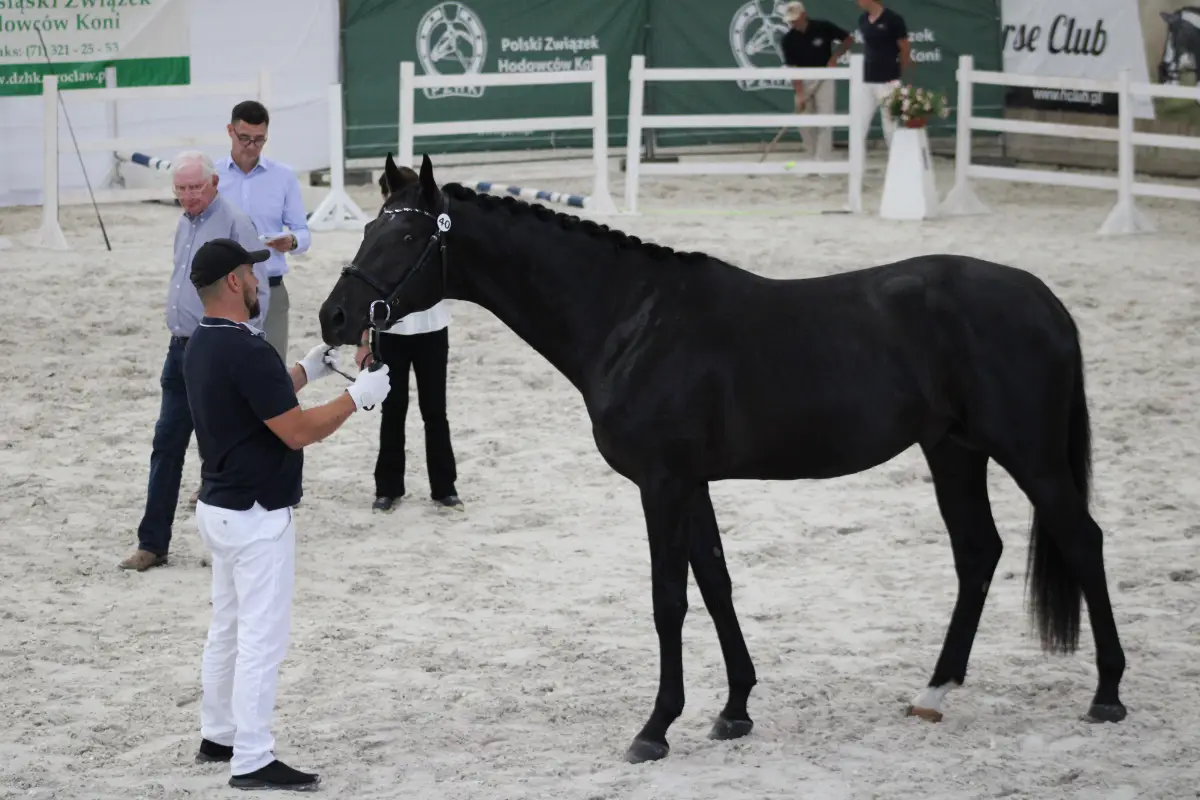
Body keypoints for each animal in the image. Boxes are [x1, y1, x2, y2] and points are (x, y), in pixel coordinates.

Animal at [317, 153, 1128, 764]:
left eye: (402, 239)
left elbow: (668, 599)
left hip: (1030, 455)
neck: (630, 318)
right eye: (369, 228)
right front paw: (735, 707)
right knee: (978, 552)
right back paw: (935, 691)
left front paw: (654, 729)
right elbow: (716, 583)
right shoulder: (692, 483)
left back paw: (1107, 694)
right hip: (953, 452)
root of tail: (1044, 301)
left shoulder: (663, 483)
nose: (334, 316)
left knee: (1082, 540)